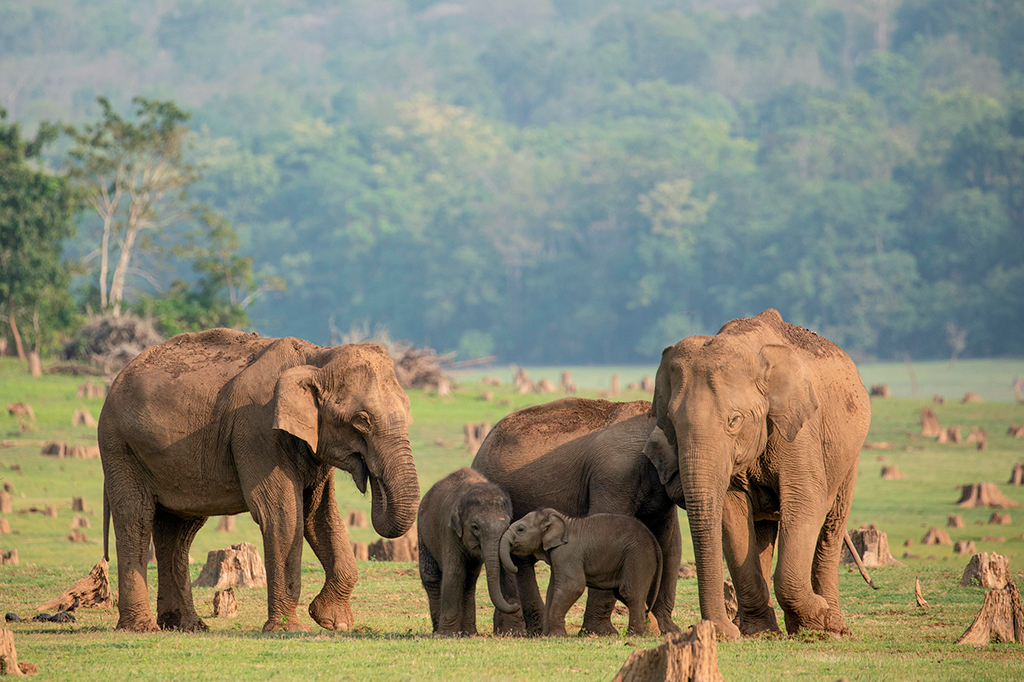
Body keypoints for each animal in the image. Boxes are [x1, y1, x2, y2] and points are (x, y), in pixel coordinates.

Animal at [96, 327, 415, 630]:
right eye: (361, 420)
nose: (371, 477)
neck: (317, 356)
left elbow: (320, 515)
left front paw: (334, 623)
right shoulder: (257, 431)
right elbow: (282, 514)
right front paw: (291, 629)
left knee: (178, 530)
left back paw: (188, 626)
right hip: (119, 446)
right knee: (136, 517)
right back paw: (142, 628)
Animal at [415, 464, 520, 634]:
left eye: (507, 525)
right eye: (475, 527)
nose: (515, 605)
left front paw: (514, 632)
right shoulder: (449, 531)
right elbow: (455, 571)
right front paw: (447, 635)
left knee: (470, 578)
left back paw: (469, 632)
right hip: (422, 532)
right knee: (431, 575)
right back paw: (438, 631)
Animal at [497, 507, 659, 634]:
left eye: (521, 529)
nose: (515, 566)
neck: (563, 521)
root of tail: (653, 539)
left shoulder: (567, 553)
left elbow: (572, 586)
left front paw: (556, 636)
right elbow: (552, 591)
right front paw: (546, 636)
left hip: (637, 557)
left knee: (629, 592)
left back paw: (634, 635)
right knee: (625, 594)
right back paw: (651, 632)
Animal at [643, 307, 868, 638]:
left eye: (734, 420)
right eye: (670, 422)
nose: (721, 631)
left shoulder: (799, 430)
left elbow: (805, 502)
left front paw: (818, 621)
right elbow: (732, 513)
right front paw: (757, 633)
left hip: (849, 453)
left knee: (832, 523)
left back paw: (835, 625)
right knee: (761, 533)